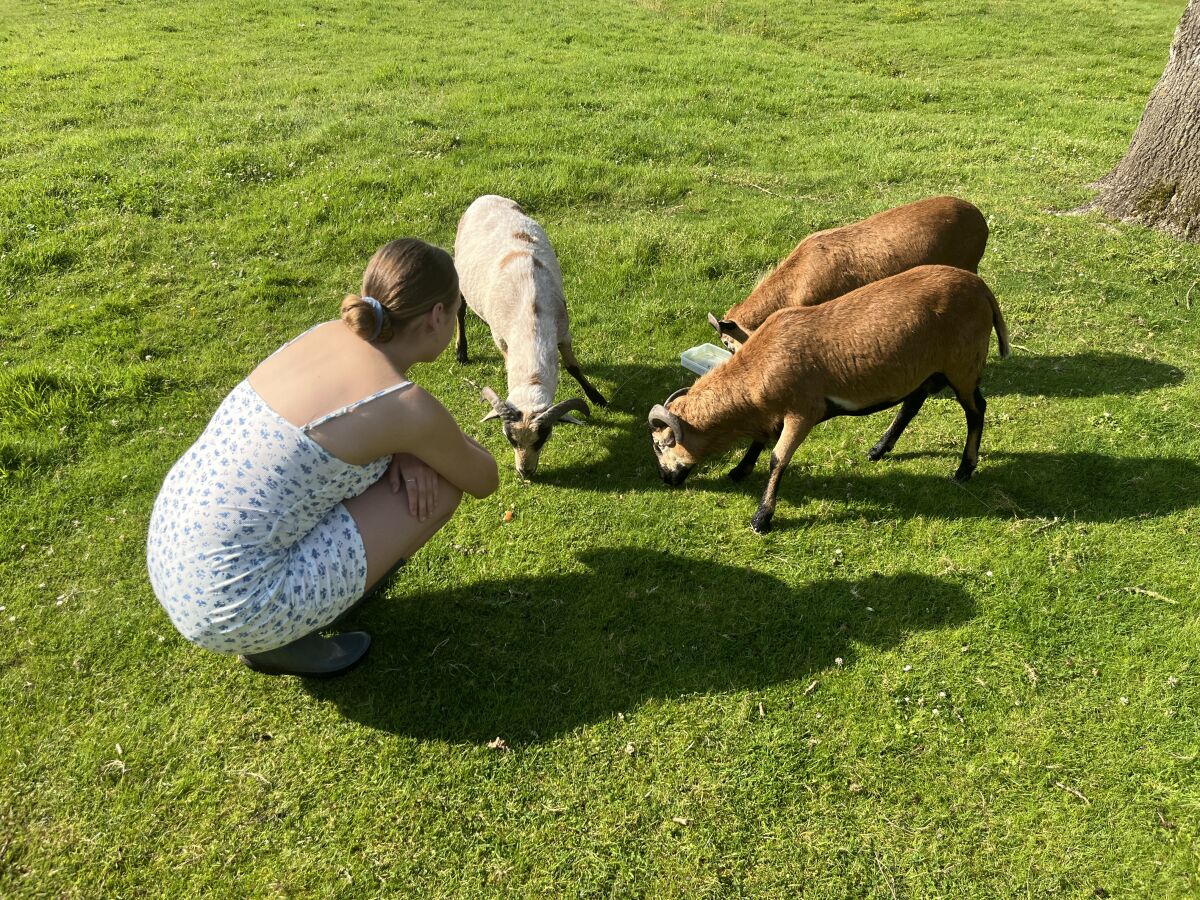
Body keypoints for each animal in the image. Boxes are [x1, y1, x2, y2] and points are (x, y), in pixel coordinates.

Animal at [652, 264, 1008, 532]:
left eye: (659, 445)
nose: (665, 479)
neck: (755, 371)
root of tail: (982, 288)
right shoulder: (774, 412)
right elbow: (761, 441)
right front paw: (740, 470)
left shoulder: (803, 411)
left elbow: (778, 458)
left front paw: (762, 518)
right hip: (925, 369)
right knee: (912, 403)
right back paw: (879, 449)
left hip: (962, 364)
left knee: (976, 410)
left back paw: (965, 468)